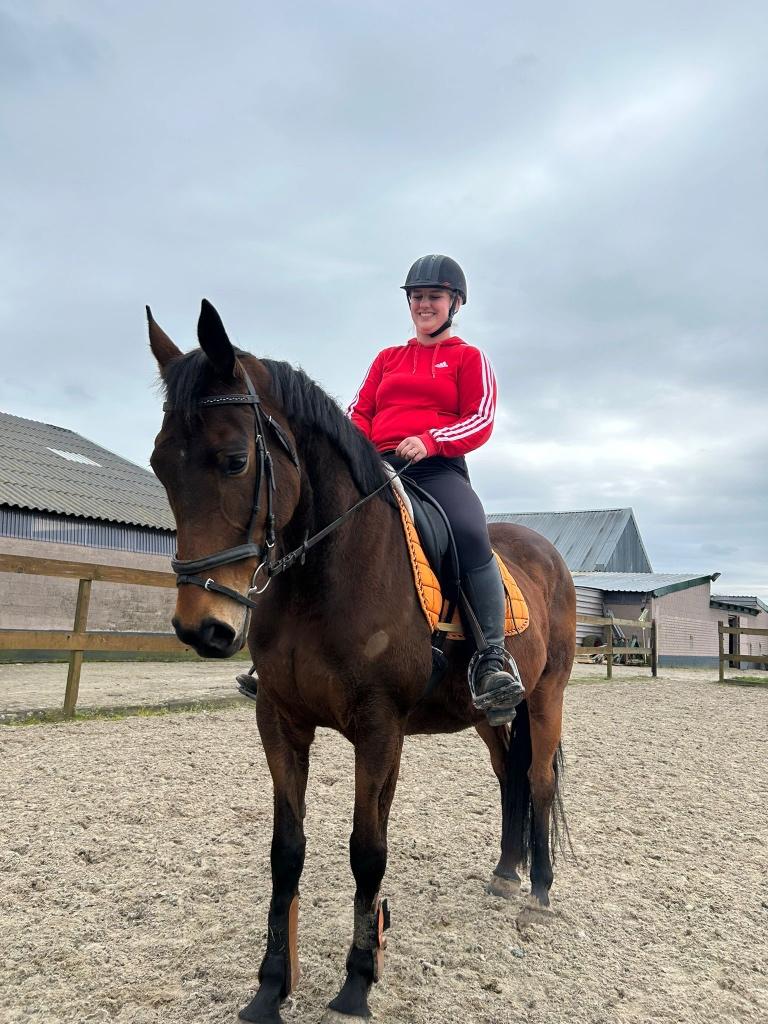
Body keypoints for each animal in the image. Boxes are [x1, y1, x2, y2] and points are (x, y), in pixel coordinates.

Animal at [147, 300, 576, 1024]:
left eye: (234, 460)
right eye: (158, 464)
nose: (201, 627)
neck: (323, 571)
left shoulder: (378, 730)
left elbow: (366, 852)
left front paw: (356, 982)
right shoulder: (280, 721)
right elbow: (286, 852)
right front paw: (270, 987)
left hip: (546, 696)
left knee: (539, 781)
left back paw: (540, 887)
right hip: (489, 717)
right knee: (509, 780)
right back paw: (504, 873)